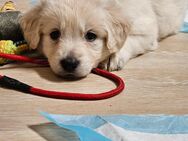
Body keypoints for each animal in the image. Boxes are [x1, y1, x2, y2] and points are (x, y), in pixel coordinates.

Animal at [19, 0, 188, 77]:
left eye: (91, 36)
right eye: (54, 34)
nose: (69, 63)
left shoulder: (147, 30)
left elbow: (128, 40)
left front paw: (110, 58)